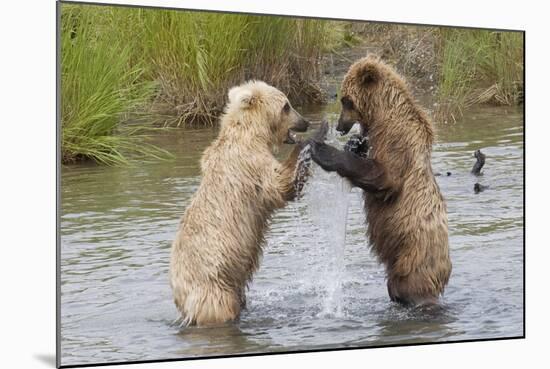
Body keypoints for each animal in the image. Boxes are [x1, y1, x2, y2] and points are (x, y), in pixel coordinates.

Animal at [170, 81, 316, 324]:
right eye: (286, 105)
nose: (305, 122)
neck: (252, 133)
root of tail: (183, 300)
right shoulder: (249, 163)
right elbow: (279, 185)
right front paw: (312, 141)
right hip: (214, 289)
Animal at [310, 56, 452, 306]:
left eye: (346, 100)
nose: (340, 126)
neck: (381, 115)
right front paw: (353, 144)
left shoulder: (397, 139)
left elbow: (385, 177)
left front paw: (323, 150)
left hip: (415, 255)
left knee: (412, 285)